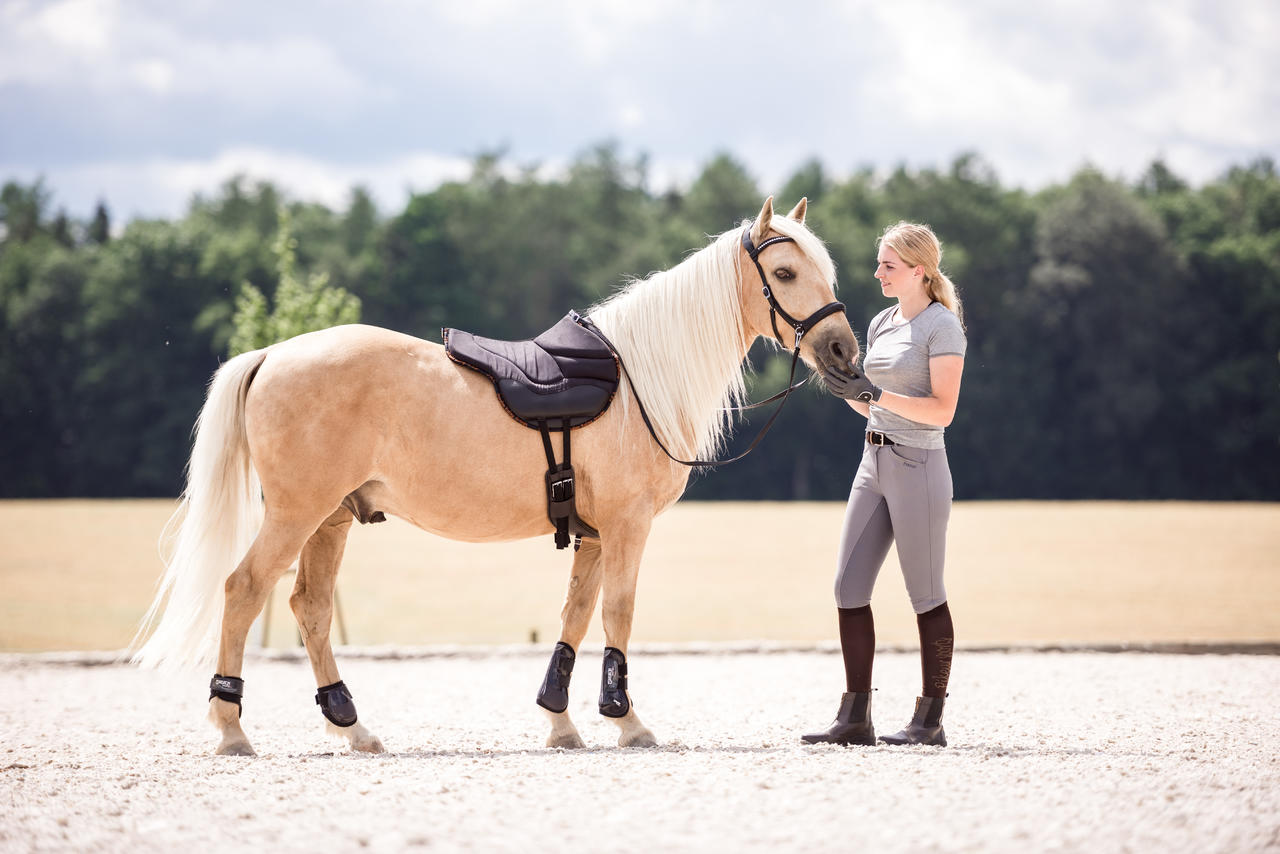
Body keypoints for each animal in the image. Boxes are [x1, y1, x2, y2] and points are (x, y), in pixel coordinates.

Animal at [132, 195, 860, 752]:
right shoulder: (626, 526)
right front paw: (627, 722)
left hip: (330, 520)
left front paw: (561, 722)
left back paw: (353, 727)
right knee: (243, 590)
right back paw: (232, 728)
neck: (635, 381)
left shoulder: (595, 533)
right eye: (785, 272)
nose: (844, 353)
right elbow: (617, 614)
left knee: (308, 607)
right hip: (295, 514)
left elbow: (575, 615)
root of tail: (273, 353)